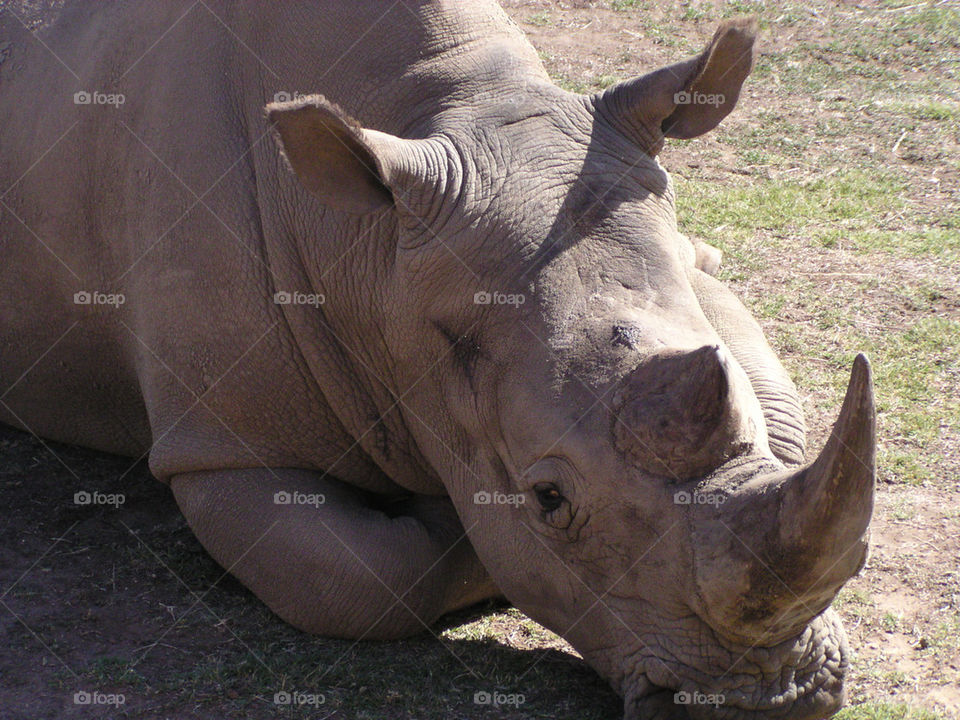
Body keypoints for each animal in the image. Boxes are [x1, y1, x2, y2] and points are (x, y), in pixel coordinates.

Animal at [0, 2, 876, 718]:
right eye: (547, 500)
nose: (778, 699)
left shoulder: (685, 271)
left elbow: (774, 403)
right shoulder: (217, 445)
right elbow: (367, 580)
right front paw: (445, 521)